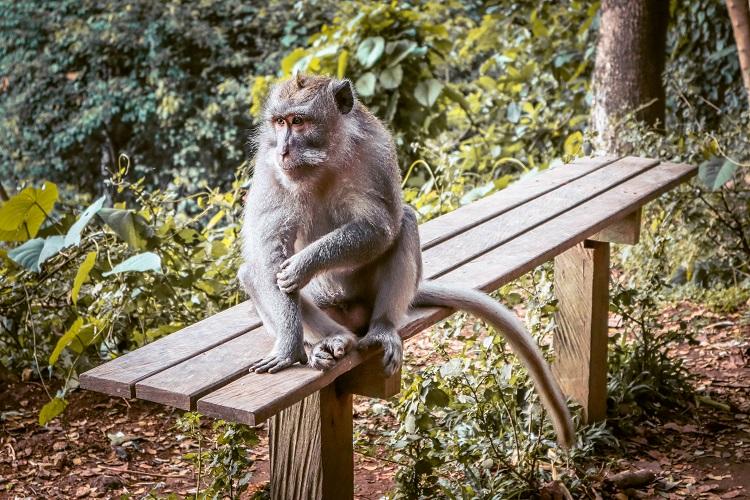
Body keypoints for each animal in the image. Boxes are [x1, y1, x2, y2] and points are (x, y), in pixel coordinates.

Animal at [238, 74, 575, 448]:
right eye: (279, 122)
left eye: (298, 121)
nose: (283, 149)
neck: (325, 161)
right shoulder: (268, 168)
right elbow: (269, 255)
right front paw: (288, 346)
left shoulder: (377, 150)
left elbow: (380, 226)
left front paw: (304, 264)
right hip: (330, 308)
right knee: (253, 273)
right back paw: (329, 341)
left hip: (368, 297)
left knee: (405, 224)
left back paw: (382, 328)